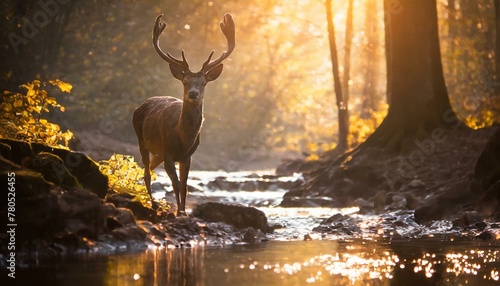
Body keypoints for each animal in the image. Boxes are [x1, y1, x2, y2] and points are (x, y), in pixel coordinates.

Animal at [132, 12, 235, 214]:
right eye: (185, 81)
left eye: (203, 83)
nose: (193, 93)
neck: (182, 138)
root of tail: (140, 105)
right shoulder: (168, 153)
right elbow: (176, 183)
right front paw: (179, 211)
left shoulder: (187, 156)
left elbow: (185, 185)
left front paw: (183, 211)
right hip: (141, 138)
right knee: (146, 171)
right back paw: (152, 203)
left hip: (158, 153)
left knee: (148, 169)